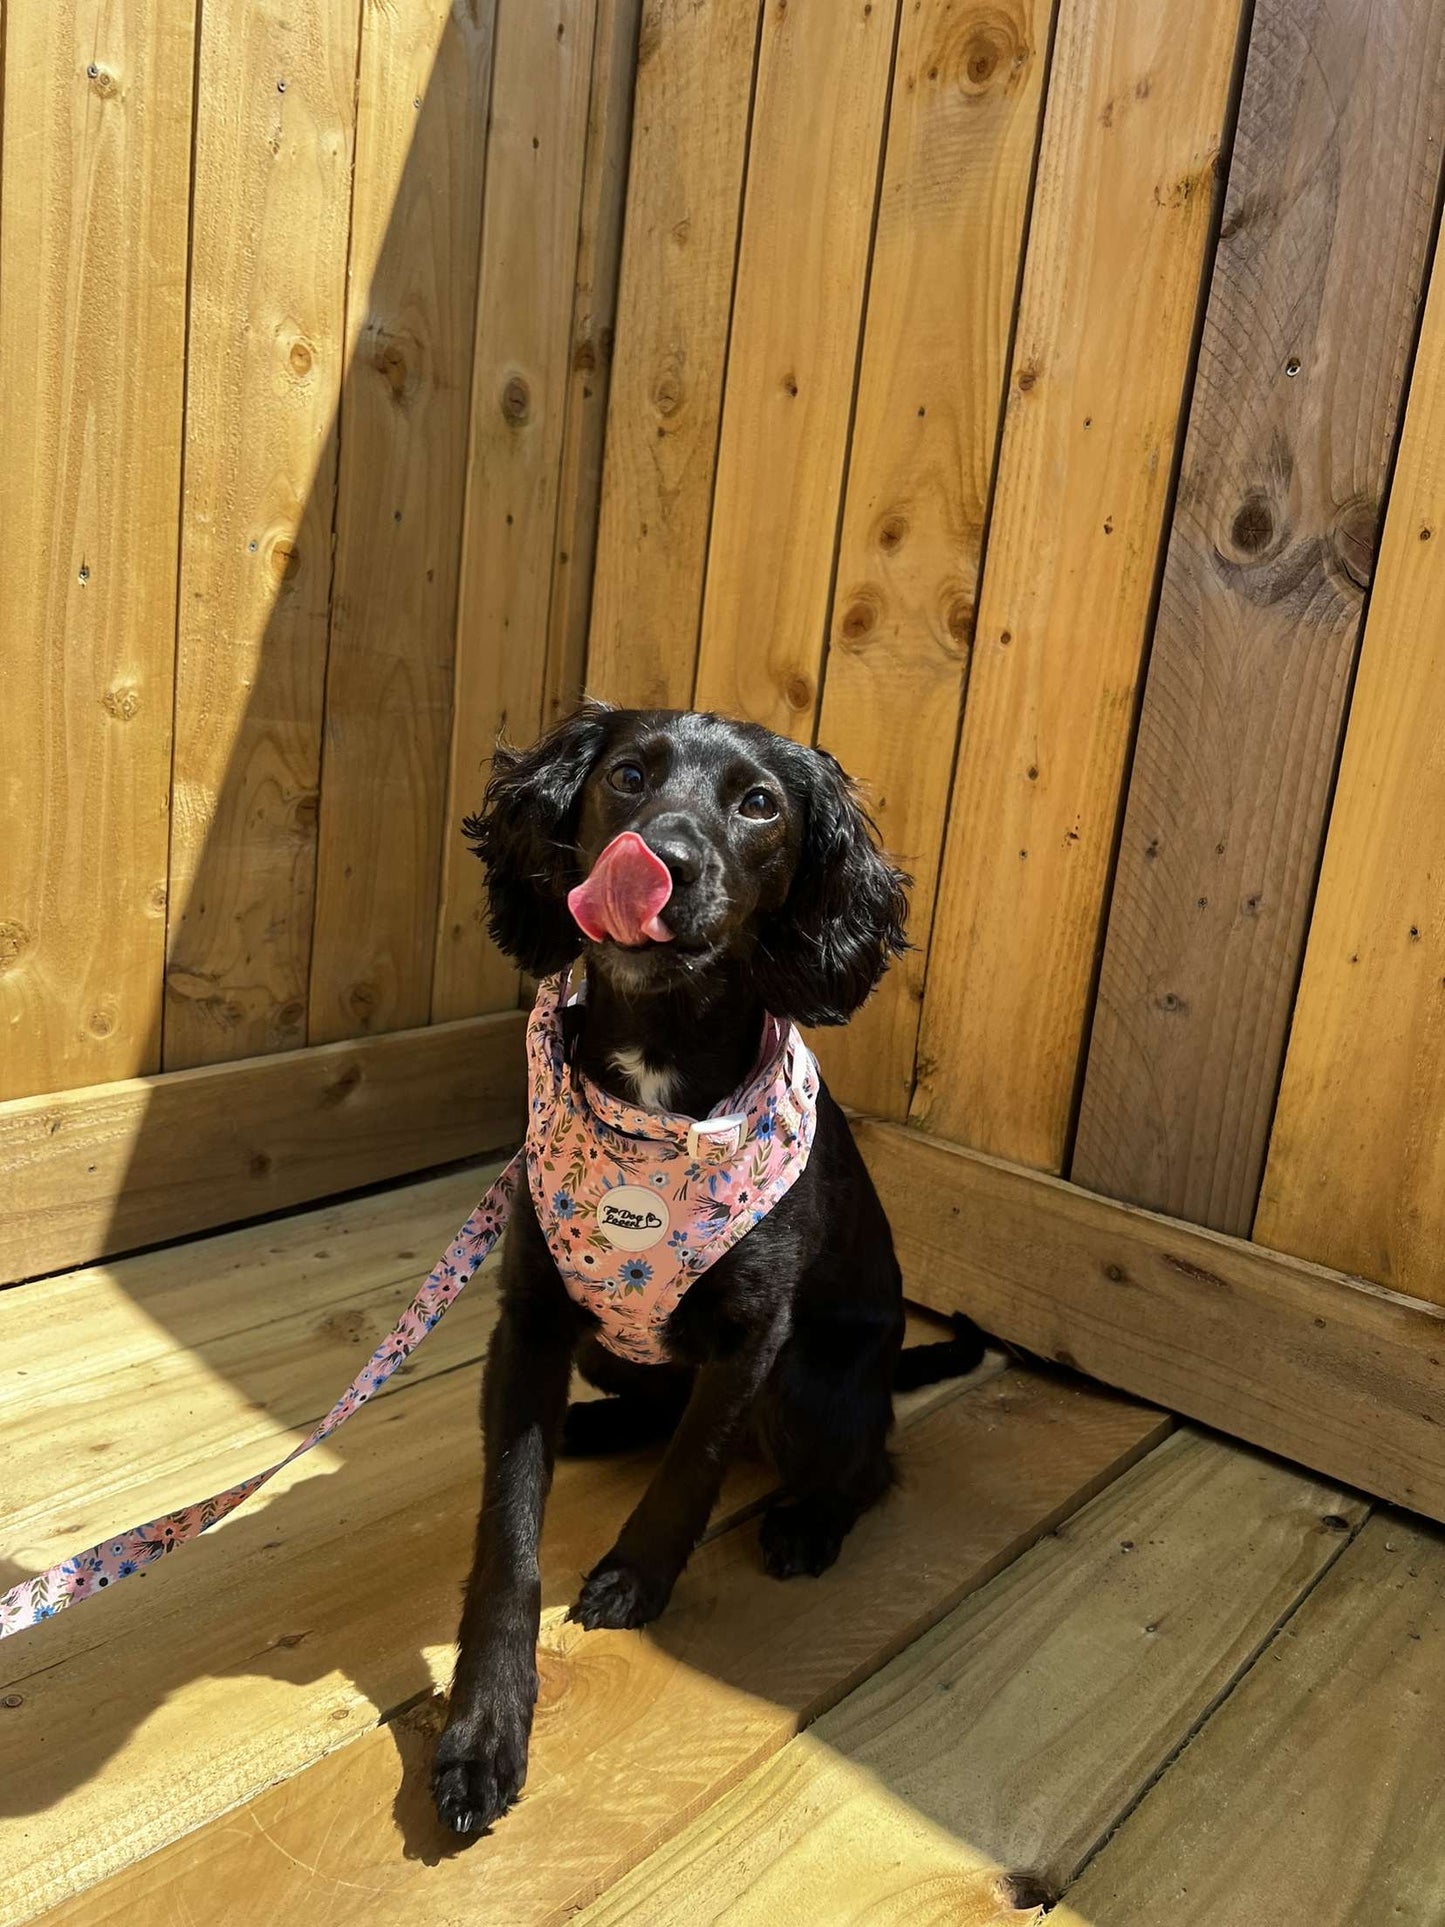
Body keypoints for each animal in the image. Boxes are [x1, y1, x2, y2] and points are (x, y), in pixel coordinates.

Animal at [433, 705, 986, 1834]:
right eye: (627, 775)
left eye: (759, 803)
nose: (665, 861)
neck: (657, 1088)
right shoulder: (529, 1322)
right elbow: (507, 1536)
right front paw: (482, 1732)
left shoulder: (752, 1337)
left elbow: (693, 1467)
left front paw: (634, 1579)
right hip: (608, 1351)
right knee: (653, 1404)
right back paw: (595, 1426)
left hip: (814, 1383)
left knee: (868, 1463)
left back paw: (807, 1522)